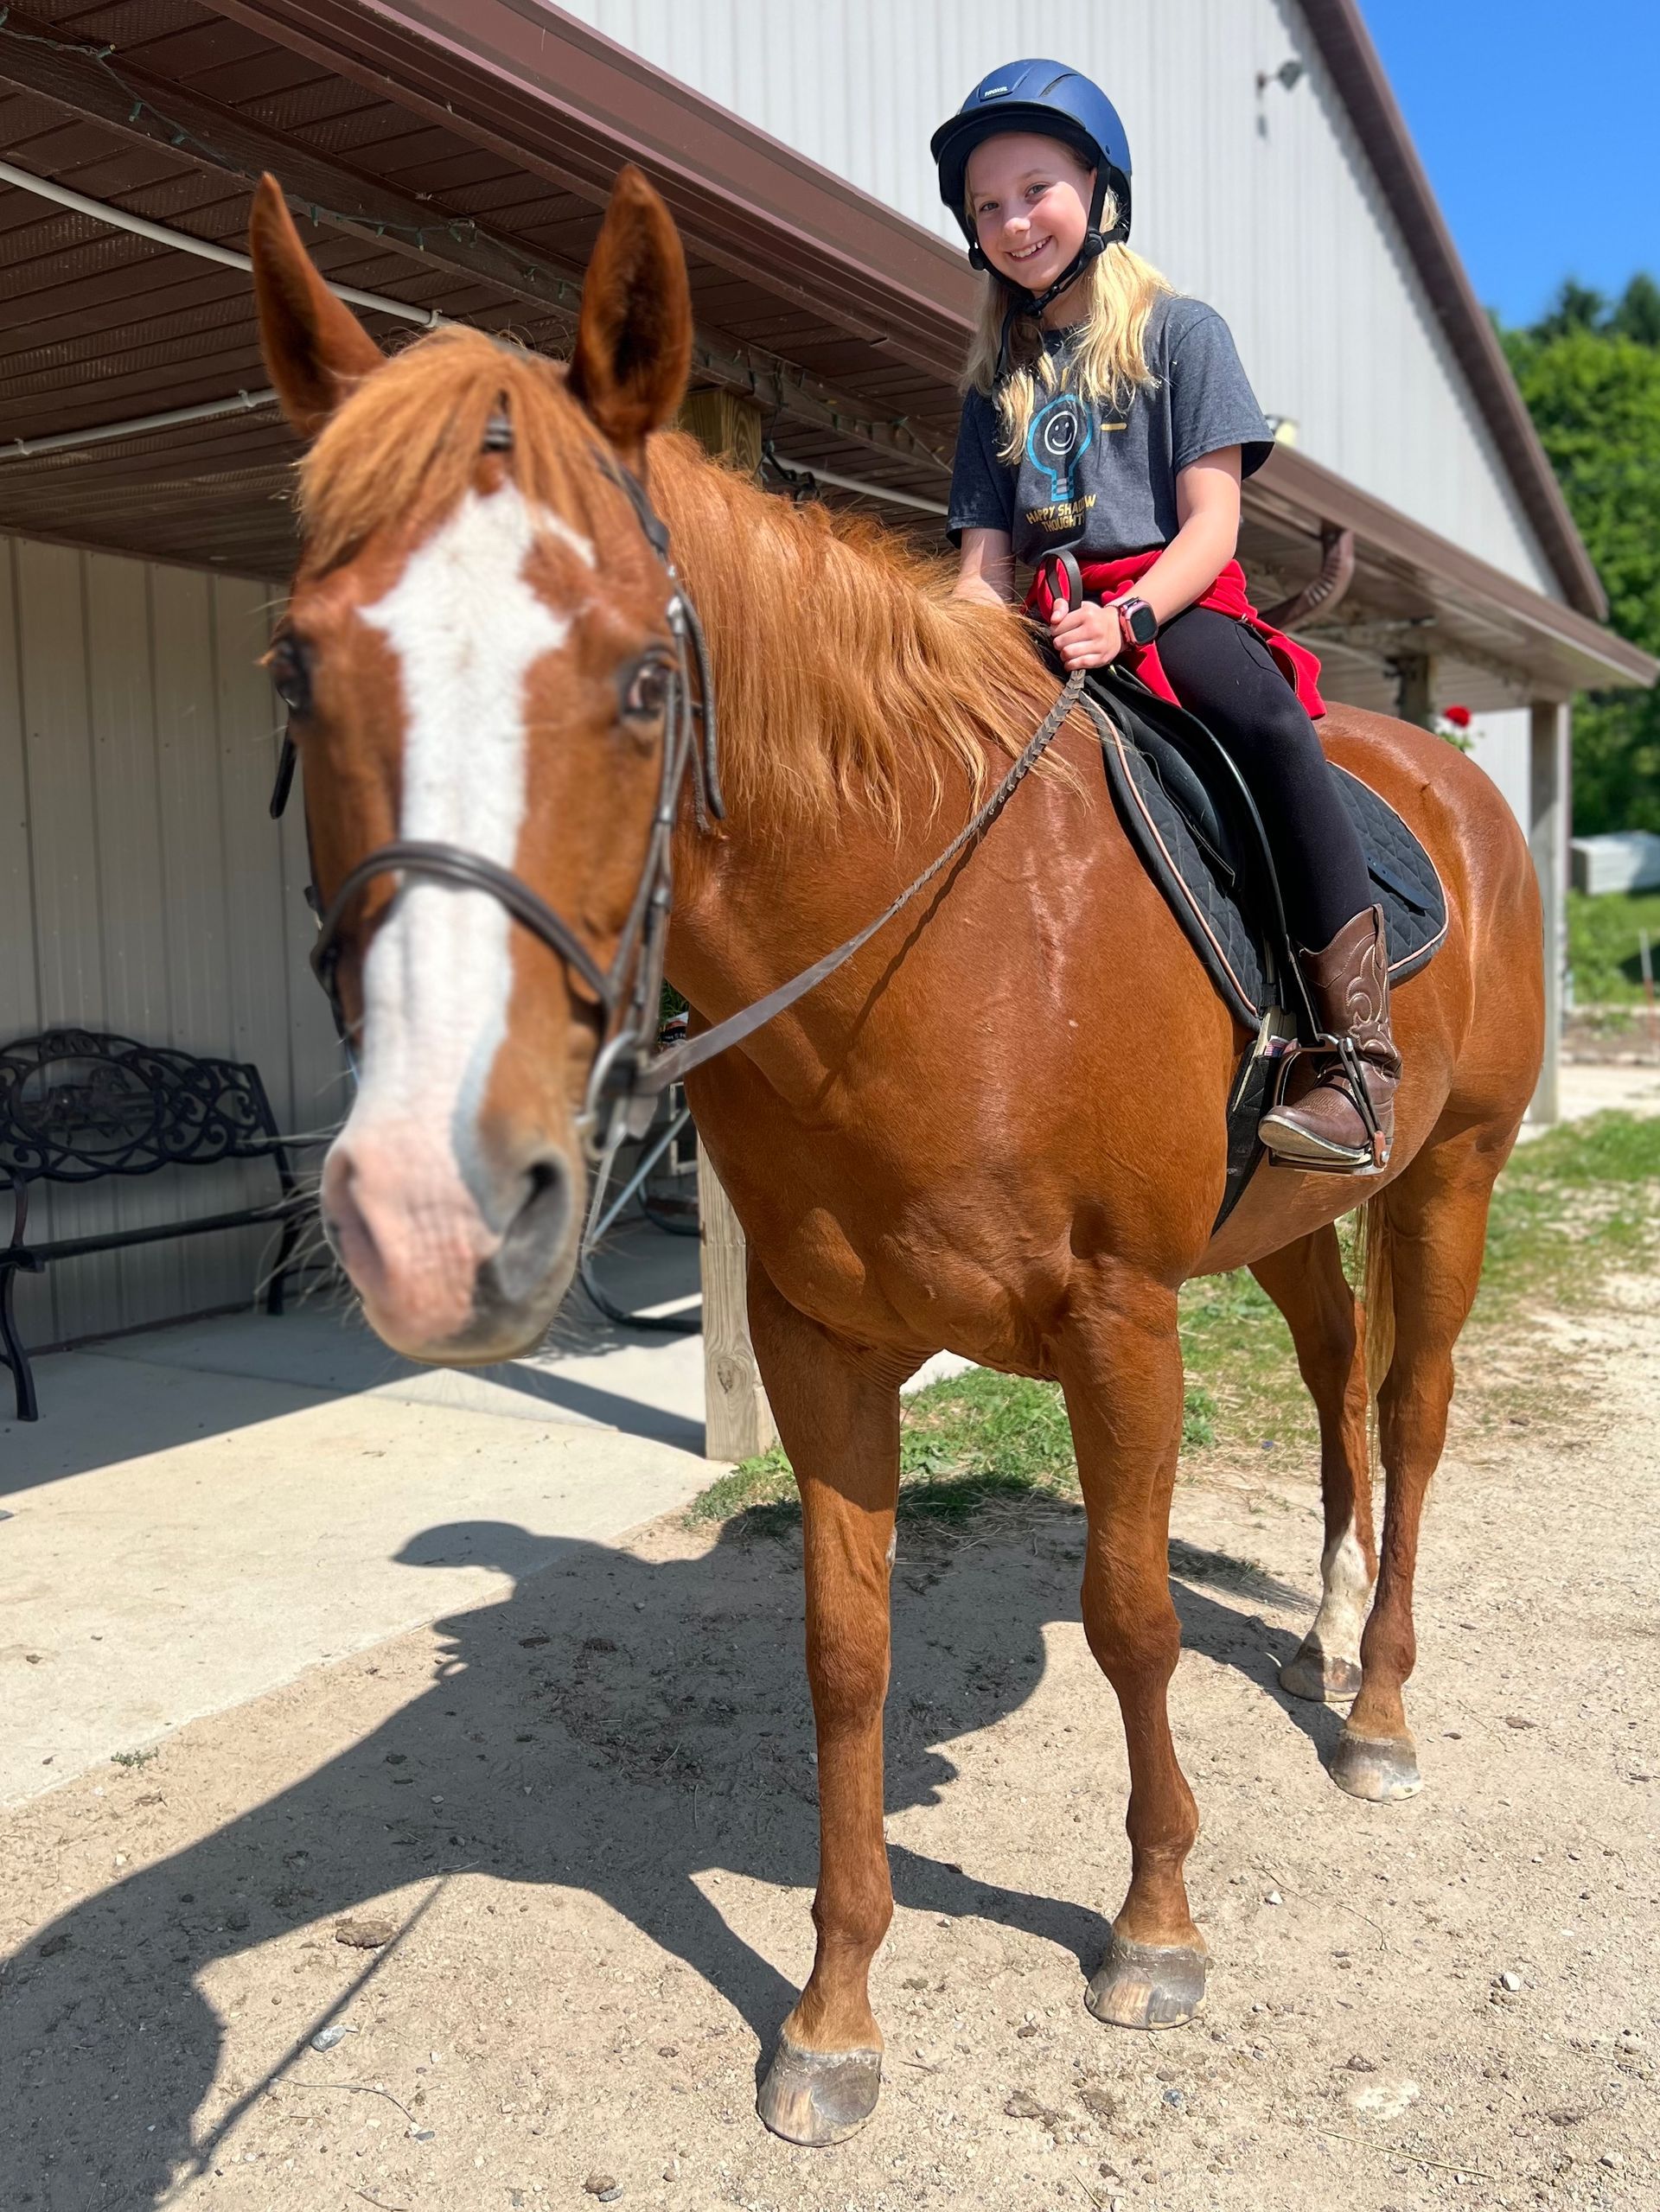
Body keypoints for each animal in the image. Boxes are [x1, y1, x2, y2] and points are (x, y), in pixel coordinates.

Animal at [247, 166, 1543, 2147]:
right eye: (297, 674)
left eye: (645, 678)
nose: (426, 1213)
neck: (945, 937)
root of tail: (1455, 776)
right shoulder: (823, 1338)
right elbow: (843, 1659)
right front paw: (835, 2015)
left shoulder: (1118, 1322)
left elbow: (1129, 1614)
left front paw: (1153, 1928)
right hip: (1293, 1217)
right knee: (1337, 1380)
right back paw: (1321, 1633)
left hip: (1452, 1174)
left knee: (1410, 1410)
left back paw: (1377, 1709)